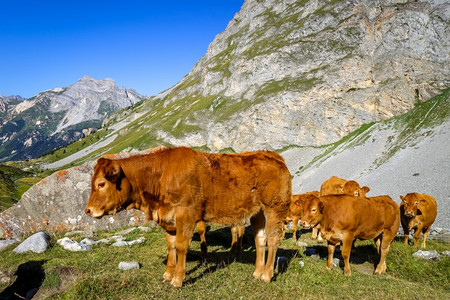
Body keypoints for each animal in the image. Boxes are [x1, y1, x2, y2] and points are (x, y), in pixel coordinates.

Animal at [85, 146, 292, 288]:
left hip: (275, 208)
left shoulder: (185, 214)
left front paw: (177, 279)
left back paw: (267, 275)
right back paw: (257, 273)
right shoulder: (168, 219)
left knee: (273, 239)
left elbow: (181, 246)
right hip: (257, 213)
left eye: (101, 184)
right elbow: (171, 246)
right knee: (260, 240)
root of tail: (274, 156)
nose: (88, 211)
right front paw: (168, 274)